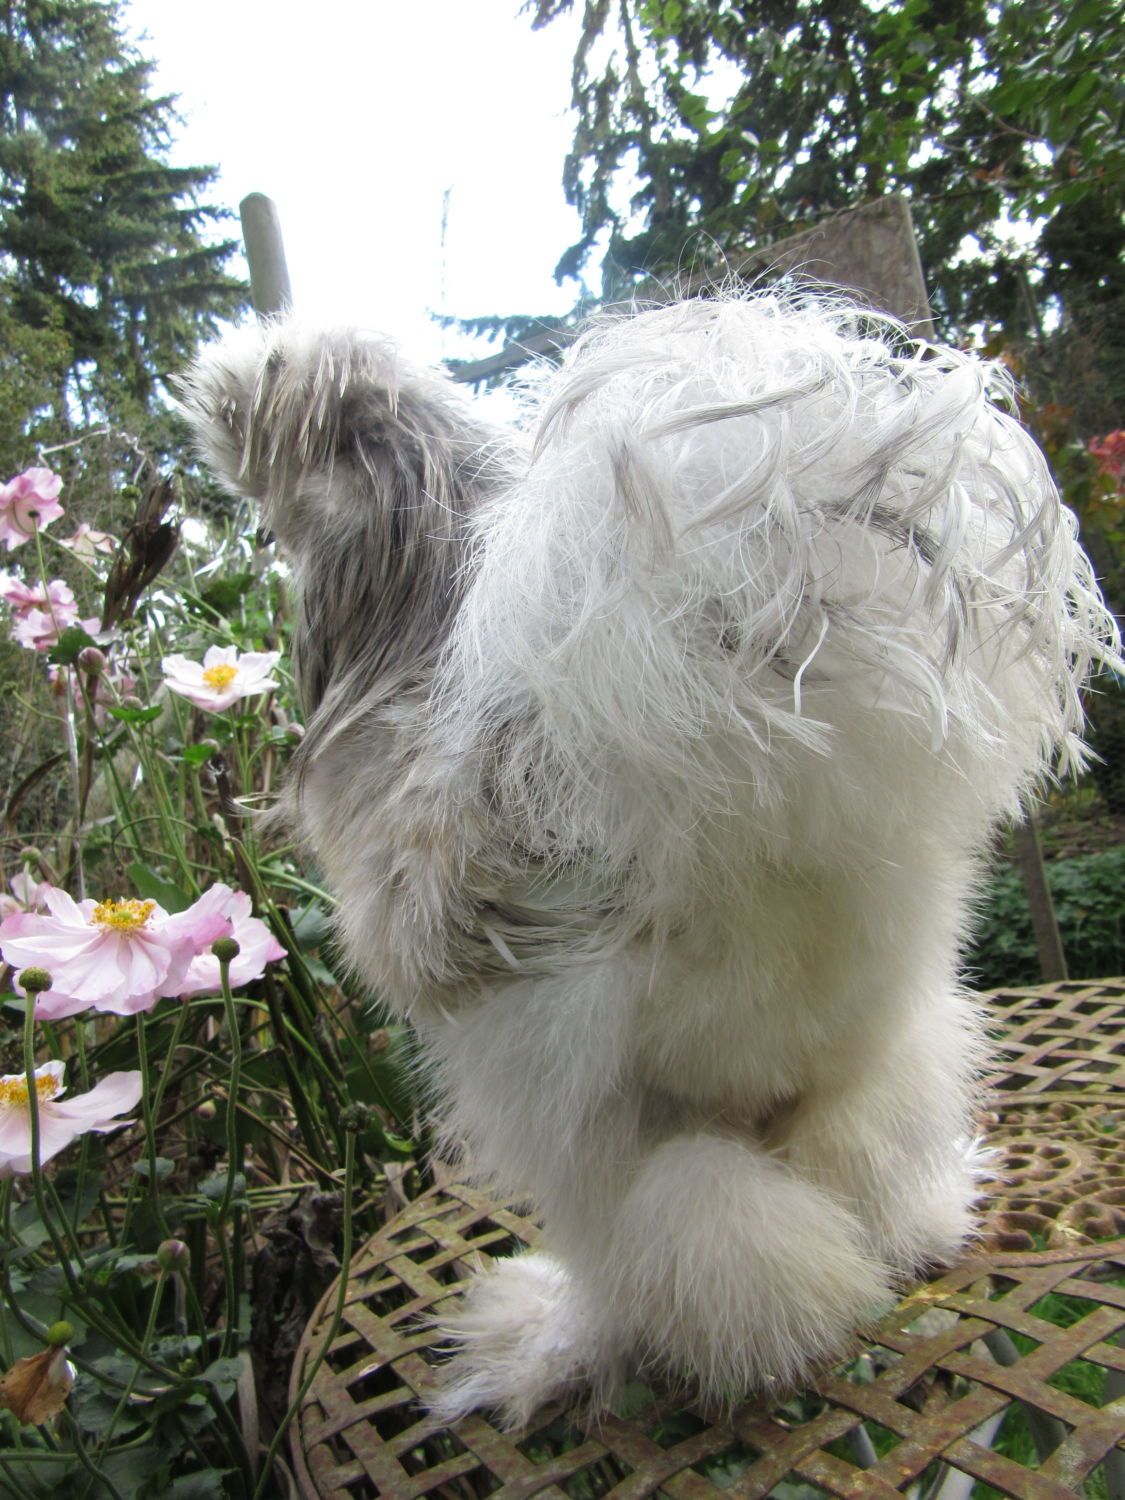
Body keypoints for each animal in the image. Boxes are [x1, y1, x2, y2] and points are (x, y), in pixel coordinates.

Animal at [181, 291, 1120, 1427]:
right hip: (882, 1027)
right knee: (853, 1169)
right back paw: (922, 1226)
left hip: (580, 1102)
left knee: (671, 1239)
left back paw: (566, 1338)